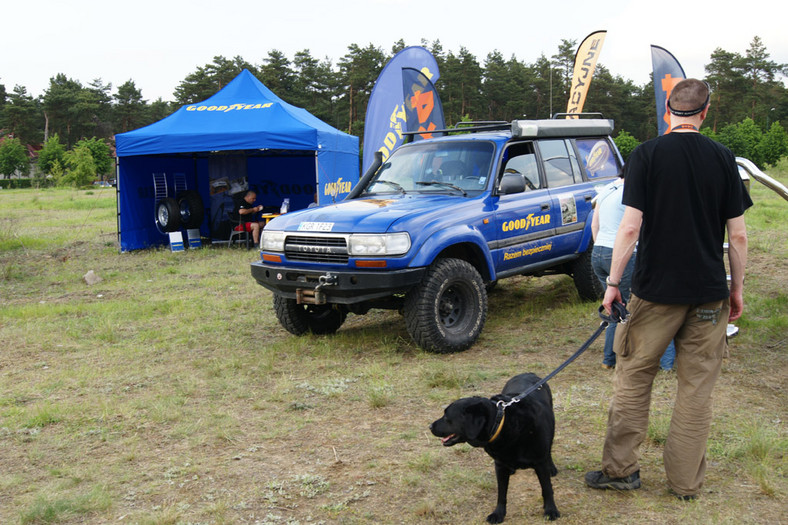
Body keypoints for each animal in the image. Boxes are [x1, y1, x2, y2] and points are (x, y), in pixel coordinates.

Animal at [430, 372, 560, 520]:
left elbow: (547, 489)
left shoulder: (539, 463)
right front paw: (498, 513)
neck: (501, 424)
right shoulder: (500, 465)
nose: (430, 426)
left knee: (549, 451)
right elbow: (501, 493)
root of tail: (528, 373)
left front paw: (550, 510)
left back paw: (551, 468)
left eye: (447, 417)